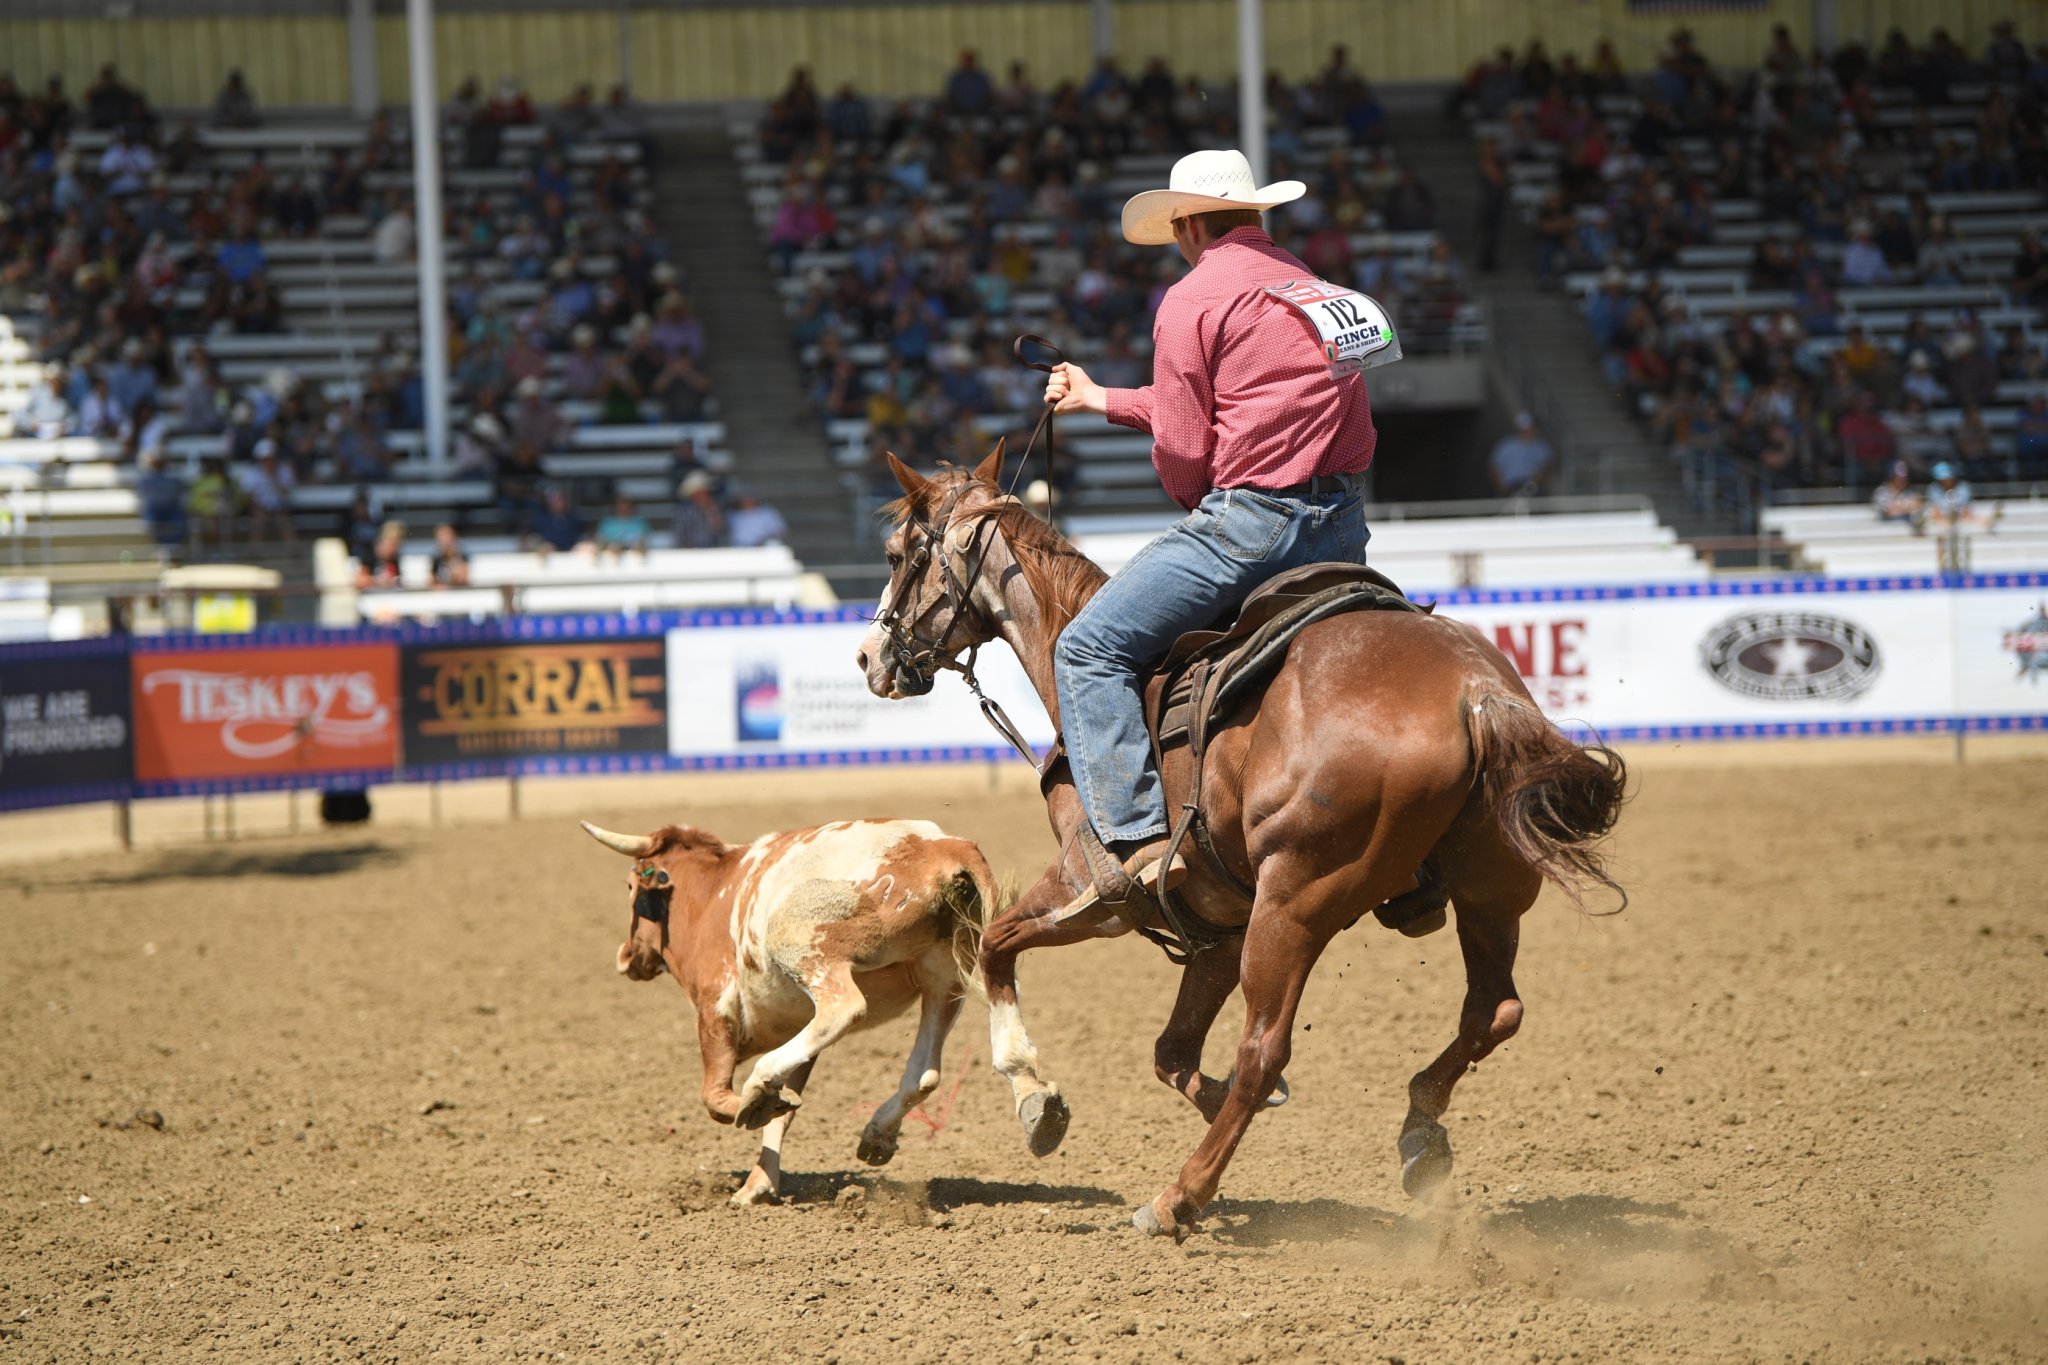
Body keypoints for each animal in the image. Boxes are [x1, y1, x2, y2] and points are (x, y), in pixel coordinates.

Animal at [577, 818, 999, 1203]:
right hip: (945, 980)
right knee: (924, 1075)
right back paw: (877, 1135)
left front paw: (756, 1105)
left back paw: (759, 1087)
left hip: (804, 944)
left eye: (631, 887)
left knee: (843, 1009)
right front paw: (759, 1183)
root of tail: (945, 847)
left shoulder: (716, 1009)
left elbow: (715, 1096)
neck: (713, 895)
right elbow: (785, 1109)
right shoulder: (798, 1029)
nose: (626, 956)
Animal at [856, 450, 1622, 1252]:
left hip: (1295, 906)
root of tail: (1474, 691)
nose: (868, 655)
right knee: (1492, 1011)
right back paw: (1419, 1137)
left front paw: (1037, 1100)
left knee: (1264, 1048)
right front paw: (1203, 1099)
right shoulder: (1215, 928)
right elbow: (1172, 1053)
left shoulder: (1094, 894)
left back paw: (1179, 1197)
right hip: (1488, 891)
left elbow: (996, 947)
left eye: (898, 554)